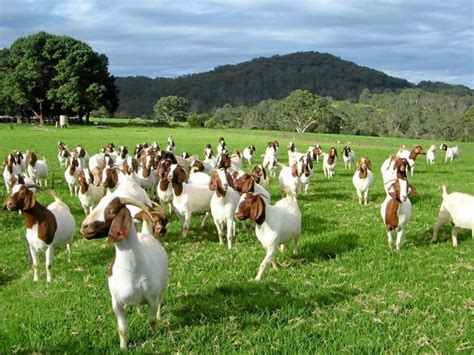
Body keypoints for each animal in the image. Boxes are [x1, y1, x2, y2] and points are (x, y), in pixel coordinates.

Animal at [81, 197, 168, 350]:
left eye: (111, 211)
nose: (84, 227)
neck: (132, 270)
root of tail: (145, 233)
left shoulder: (152, 298)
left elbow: (151, 320)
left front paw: (155, 336)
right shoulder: (116, 303)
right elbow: (122, 329)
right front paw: (123, 348)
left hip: (159, 290)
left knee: (159, 302)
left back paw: (159, 316)